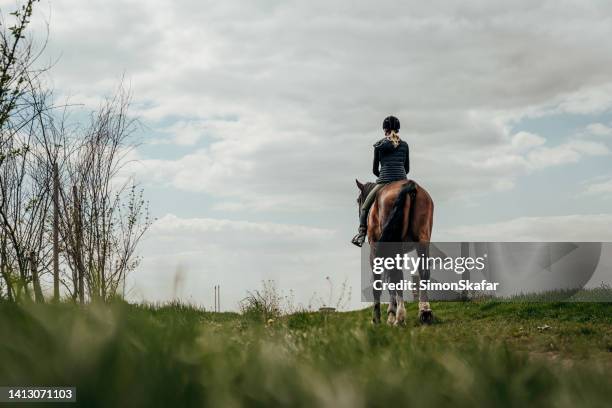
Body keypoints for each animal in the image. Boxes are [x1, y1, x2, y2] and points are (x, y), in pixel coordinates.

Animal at [354, 178, 436, 326]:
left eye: (358, 200)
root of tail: (410, 185)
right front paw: (391, 314)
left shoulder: (376, 253)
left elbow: (380, 283)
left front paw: (379, 318)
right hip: (422, 239)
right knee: (423, 272)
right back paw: (425, 312)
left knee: (397, 277)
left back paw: (400, 317)